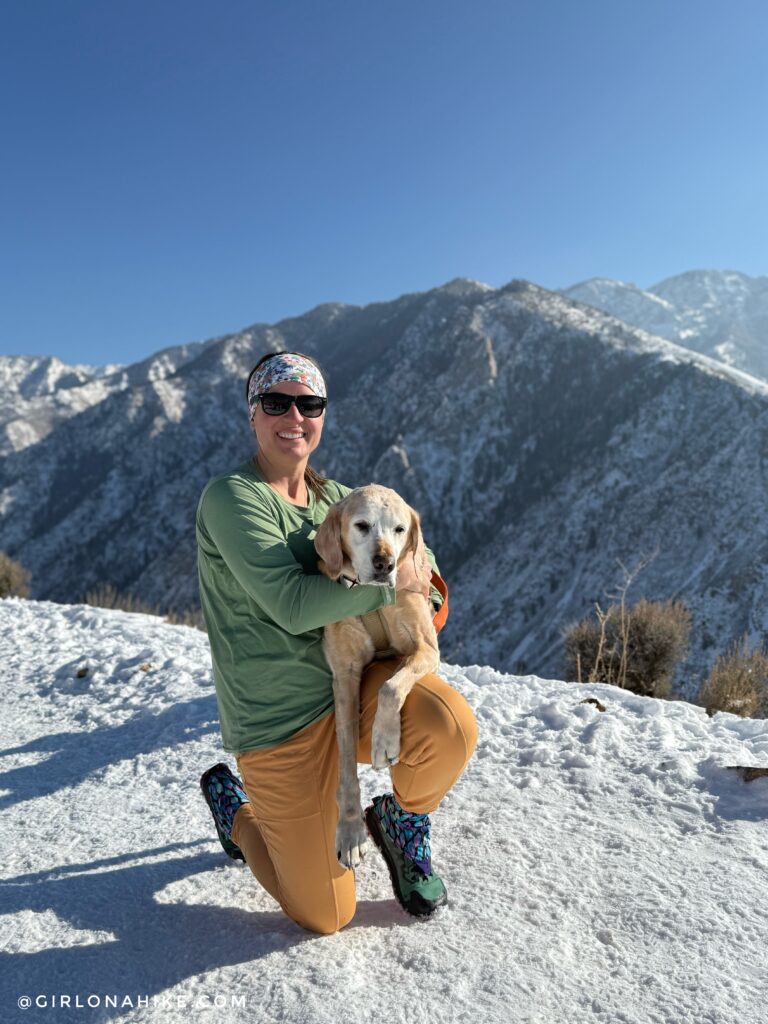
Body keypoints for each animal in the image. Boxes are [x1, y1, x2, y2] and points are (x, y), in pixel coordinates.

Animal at [315, 483, 442, 868]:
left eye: (400, 529)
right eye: (361, 525)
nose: (385, 563)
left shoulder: (426, 649)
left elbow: (390, 687)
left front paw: (385, 740)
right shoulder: (344, 675)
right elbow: (345, 764)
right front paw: (350, 831)